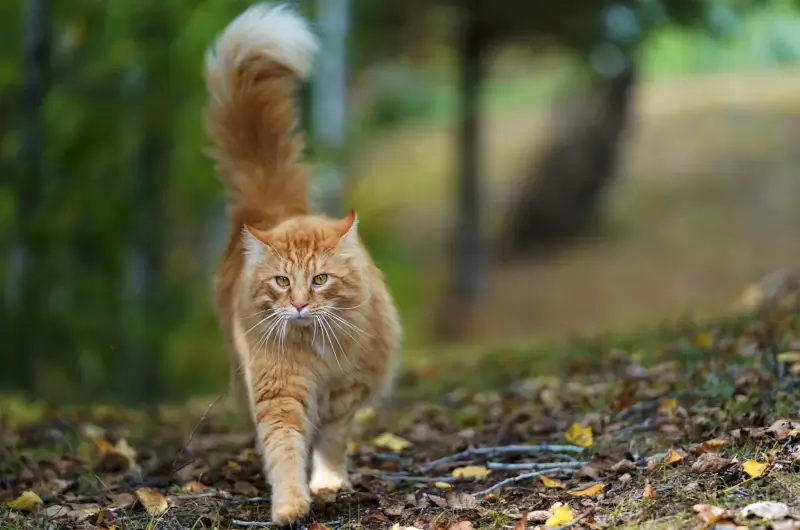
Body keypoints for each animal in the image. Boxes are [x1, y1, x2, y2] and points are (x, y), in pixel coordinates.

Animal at [200, 3, 400, 524]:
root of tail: (272, 207)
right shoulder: (280, 392)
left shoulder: (345, 391)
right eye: (282, 281)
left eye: (321, 280)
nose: (300, 305)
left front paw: (327, 483)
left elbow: (330, 442)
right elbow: (286, 449)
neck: (314, 351)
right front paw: (291, 504)